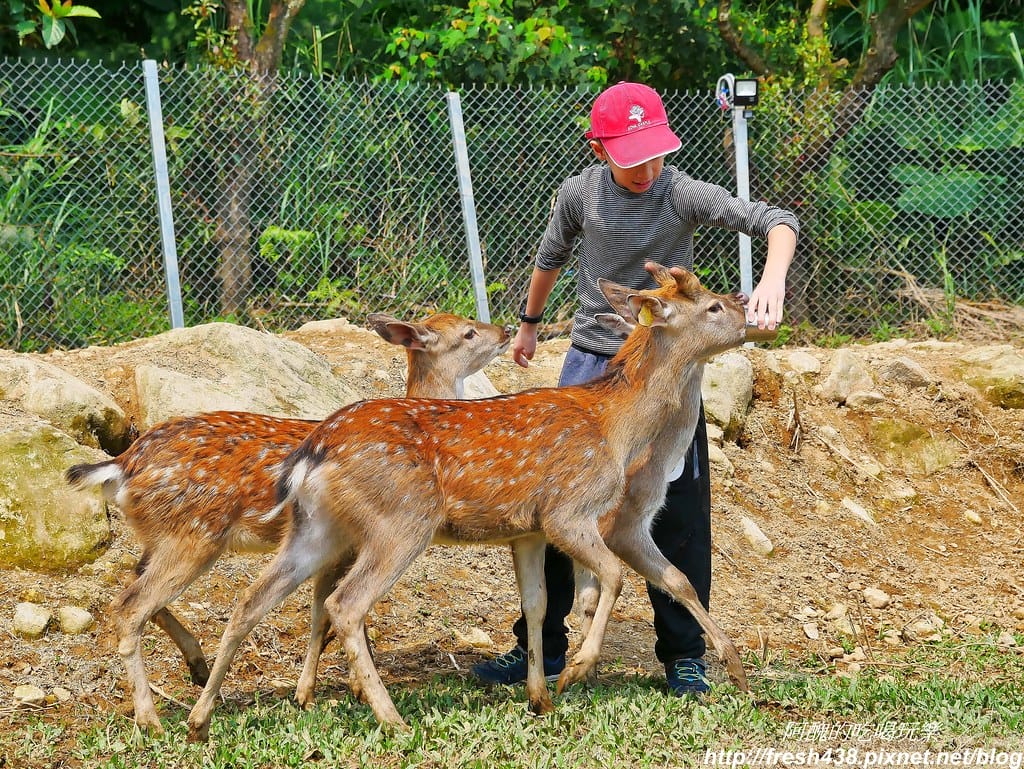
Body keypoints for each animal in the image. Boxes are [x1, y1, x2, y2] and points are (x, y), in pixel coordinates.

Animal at [64, 312, 511, 734]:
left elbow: (320, 611)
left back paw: (198, 667)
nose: (507, 331)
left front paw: (319, 691)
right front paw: (334, 691)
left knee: (135, 582)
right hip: (193, 535)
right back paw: (151, 718)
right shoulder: (350, 545)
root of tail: (121, 466)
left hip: (162, 534)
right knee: (131, 604)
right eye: (469, 332)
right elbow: (331, 613)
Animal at [185, 263, 775, 740]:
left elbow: (538, 603)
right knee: (344, 603)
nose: (749, 308)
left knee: (253, 599)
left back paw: (201, 719)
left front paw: (540, 699)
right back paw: (392, 720)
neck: (617, 426)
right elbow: (612, 578)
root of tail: (313, 451)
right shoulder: (569, 510)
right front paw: (577, 671)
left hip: (315, 528)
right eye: (713, 306)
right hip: (402, 522)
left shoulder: (528, 529)